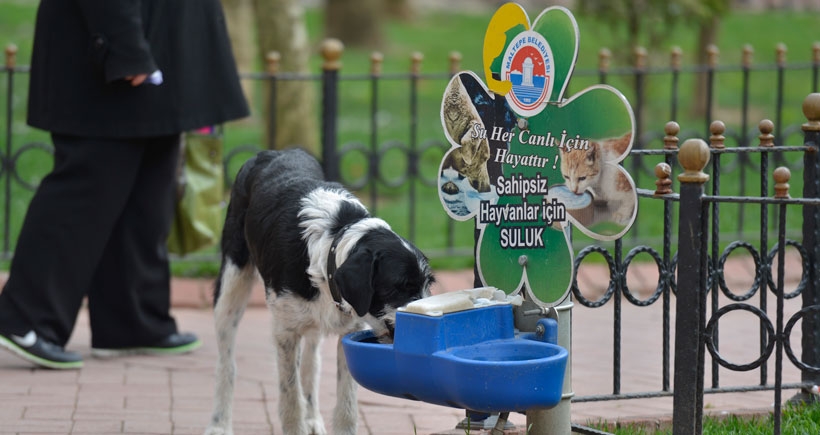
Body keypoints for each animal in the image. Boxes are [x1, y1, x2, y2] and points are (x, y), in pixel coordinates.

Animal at [205, 150, 436, 435]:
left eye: (428, 284)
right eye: (401, 286)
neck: (332, 243)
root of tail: (271, 152)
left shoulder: (349, 332)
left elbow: (346, 403)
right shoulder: (285, 333)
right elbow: (291, 399)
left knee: (310, 364)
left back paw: (313, 418)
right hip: (231, 285)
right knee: (226, 362)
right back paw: (219, 424)